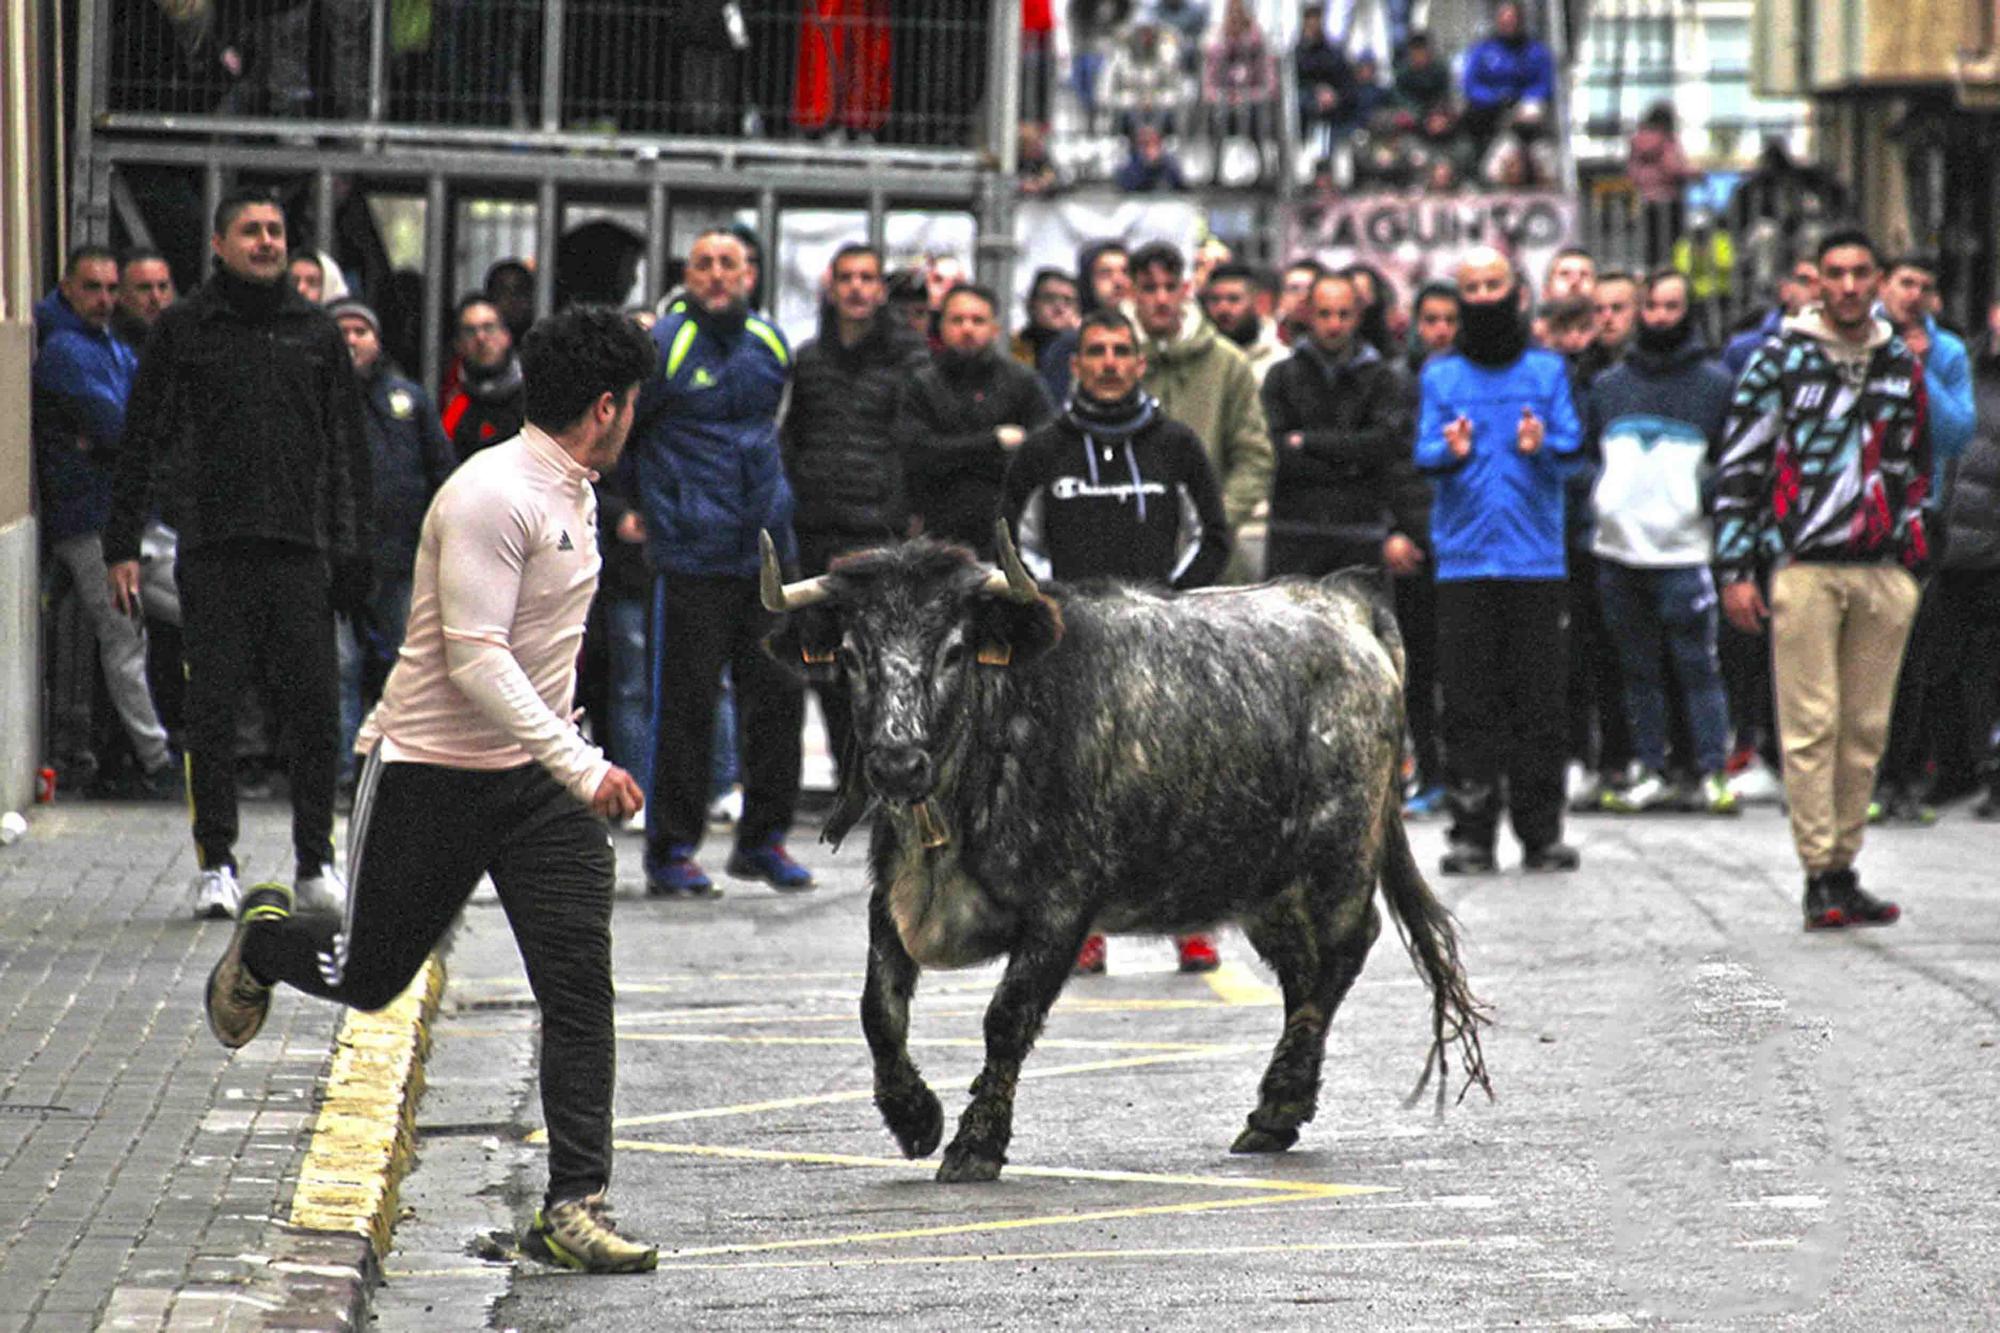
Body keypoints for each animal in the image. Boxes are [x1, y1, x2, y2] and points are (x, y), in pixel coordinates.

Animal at [760, 524, 1488, 1176]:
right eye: (852, 654)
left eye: (954, 650)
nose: (897, 763)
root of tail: (1342, 600)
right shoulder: (892, 899)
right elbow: (877, 1009)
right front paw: (914, 1117)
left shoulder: (1061, 906)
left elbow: (1007, 1017)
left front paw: (976, 1143)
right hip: (1263, 882)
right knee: (1301, 971)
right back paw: (1275, 1110)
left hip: (1337, 859)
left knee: (1341, 953)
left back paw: (1279, 1104)